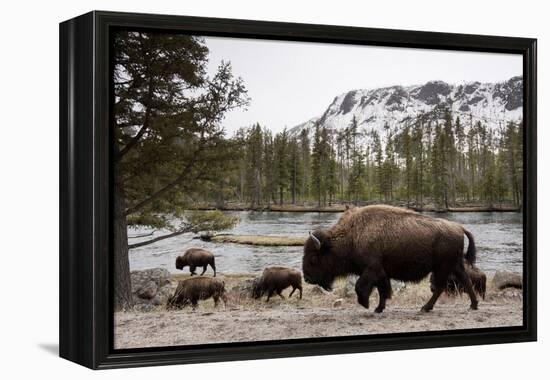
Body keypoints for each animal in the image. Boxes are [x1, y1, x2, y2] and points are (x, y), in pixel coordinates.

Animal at [304, 206, 480, 314]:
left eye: (313, 258)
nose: (307, 278)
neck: (352, 235)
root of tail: (459, 228)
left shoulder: (372, 269)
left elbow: (361, 287)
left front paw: (366, 304)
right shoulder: (382, 273)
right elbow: (383, 290)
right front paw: (378, 308)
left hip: (443, 267)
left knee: (440, 287)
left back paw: (425, 308)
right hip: (454, 265)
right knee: (465, 281)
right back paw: (473, 305)